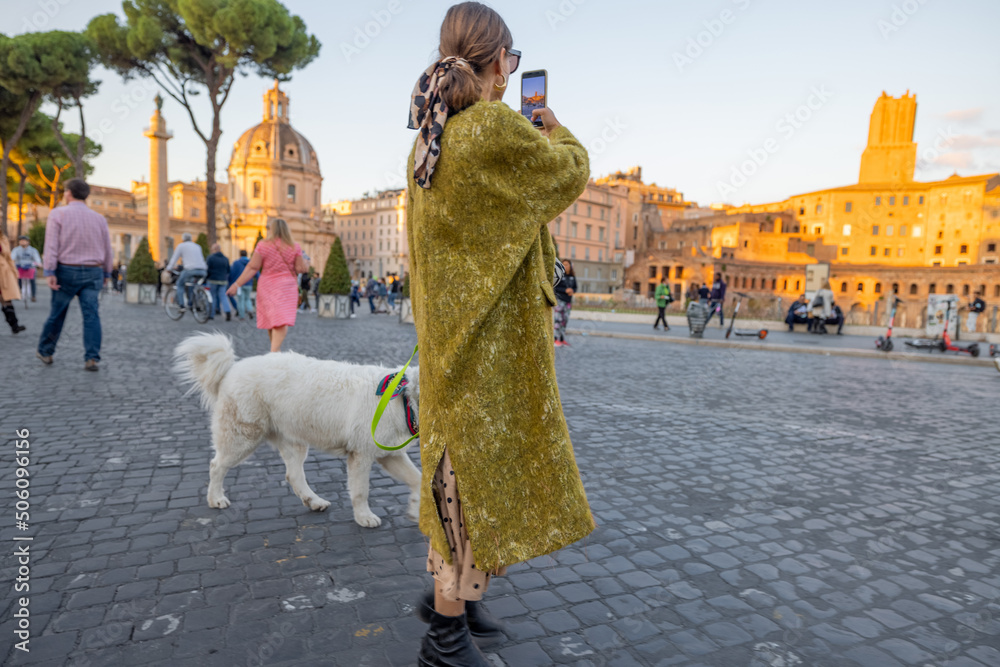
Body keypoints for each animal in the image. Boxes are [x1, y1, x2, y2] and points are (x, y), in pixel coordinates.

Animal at [174, 334, 420, 528]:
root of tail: (231, 369)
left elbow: (417, 479)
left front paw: (416, 508)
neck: (403, 400)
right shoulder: (361, 455)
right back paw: (215, 498)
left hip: (293, 440)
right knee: (216, 465)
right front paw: (364, 517)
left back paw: (314, 501)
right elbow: (361, 491)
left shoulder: (391, 455)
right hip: (242, 438)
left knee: (293, 475)